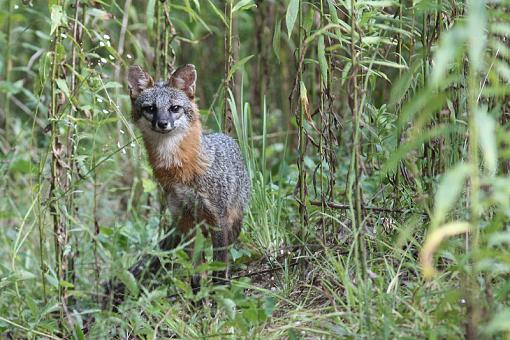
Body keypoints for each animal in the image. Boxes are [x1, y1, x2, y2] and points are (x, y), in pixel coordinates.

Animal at [125, 63, 249, 286]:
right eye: (150, 109)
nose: (163, 123)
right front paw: (198, 293)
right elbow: (197, 269)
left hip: (233, 223)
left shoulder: (218, 217)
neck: (178, 169)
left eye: (174, 108)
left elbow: (220, 263)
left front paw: (221, 290)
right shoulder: (184, 219)